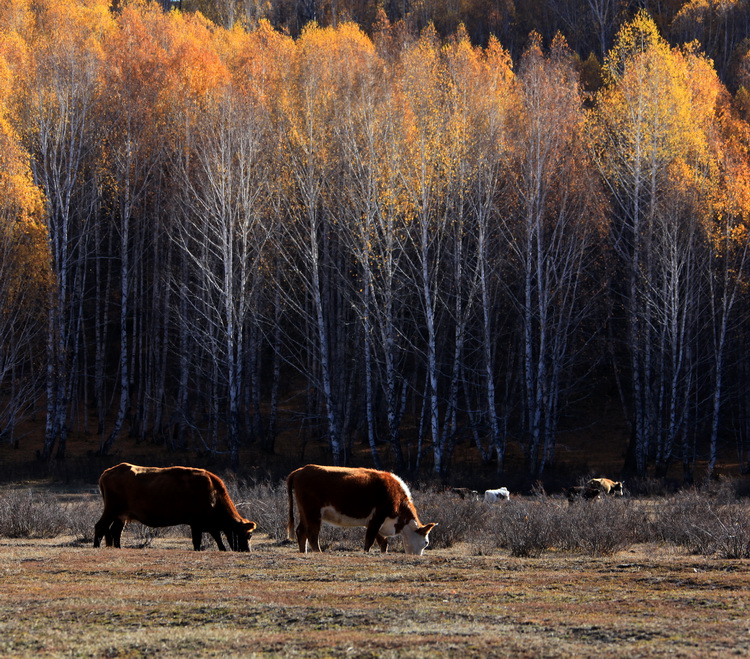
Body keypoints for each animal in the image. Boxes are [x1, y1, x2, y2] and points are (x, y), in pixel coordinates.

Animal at [93, 464, 258, 552]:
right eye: (248, 535)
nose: (247, 551)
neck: (213, 494)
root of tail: (107, 472)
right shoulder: (196, 524)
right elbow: (197, 541)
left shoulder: (209, 525)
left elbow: (218, 539)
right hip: (111, 510)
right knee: (100, 526)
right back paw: (96, 546)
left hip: (121, 516)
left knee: (115, 531)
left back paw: (118, 547)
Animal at [290, 464, 440, 556]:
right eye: (426, 542)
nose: (417, 556)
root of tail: (301, 470)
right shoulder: (377, 517)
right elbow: (370, 540)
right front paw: (366, 553)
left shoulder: (376, 522)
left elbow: (383, 542)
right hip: (313, 513)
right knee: (312, 534)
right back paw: (318, 552)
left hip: (304, 512)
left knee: (301, 531)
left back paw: (303, 552)